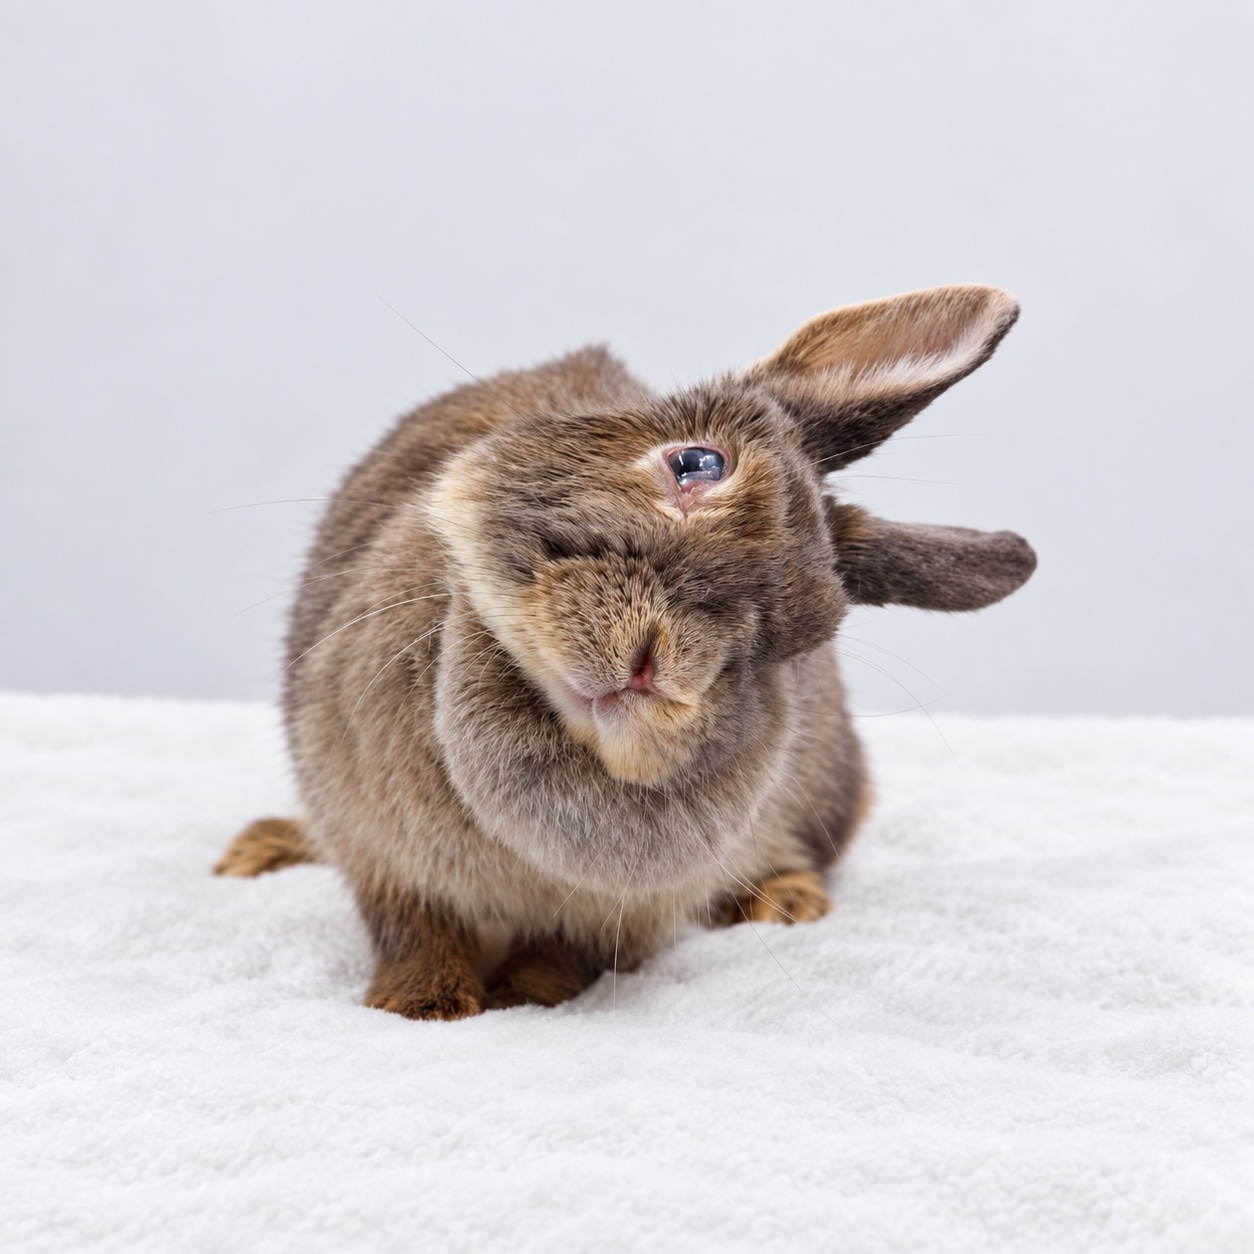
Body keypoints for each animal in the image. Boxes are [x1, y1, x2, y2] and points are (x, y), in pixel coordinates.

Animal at [216, 283, 1036, 1020]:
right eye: (697, 463)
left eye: (798, 636)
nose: (655, 669)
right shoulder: (376, 850)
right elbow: (414, 931)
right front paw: (425, 1007)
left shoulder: (633, 911)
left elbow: (568, 955)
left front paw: (522, 997)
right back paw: (258, 849)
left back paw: (787, 900)